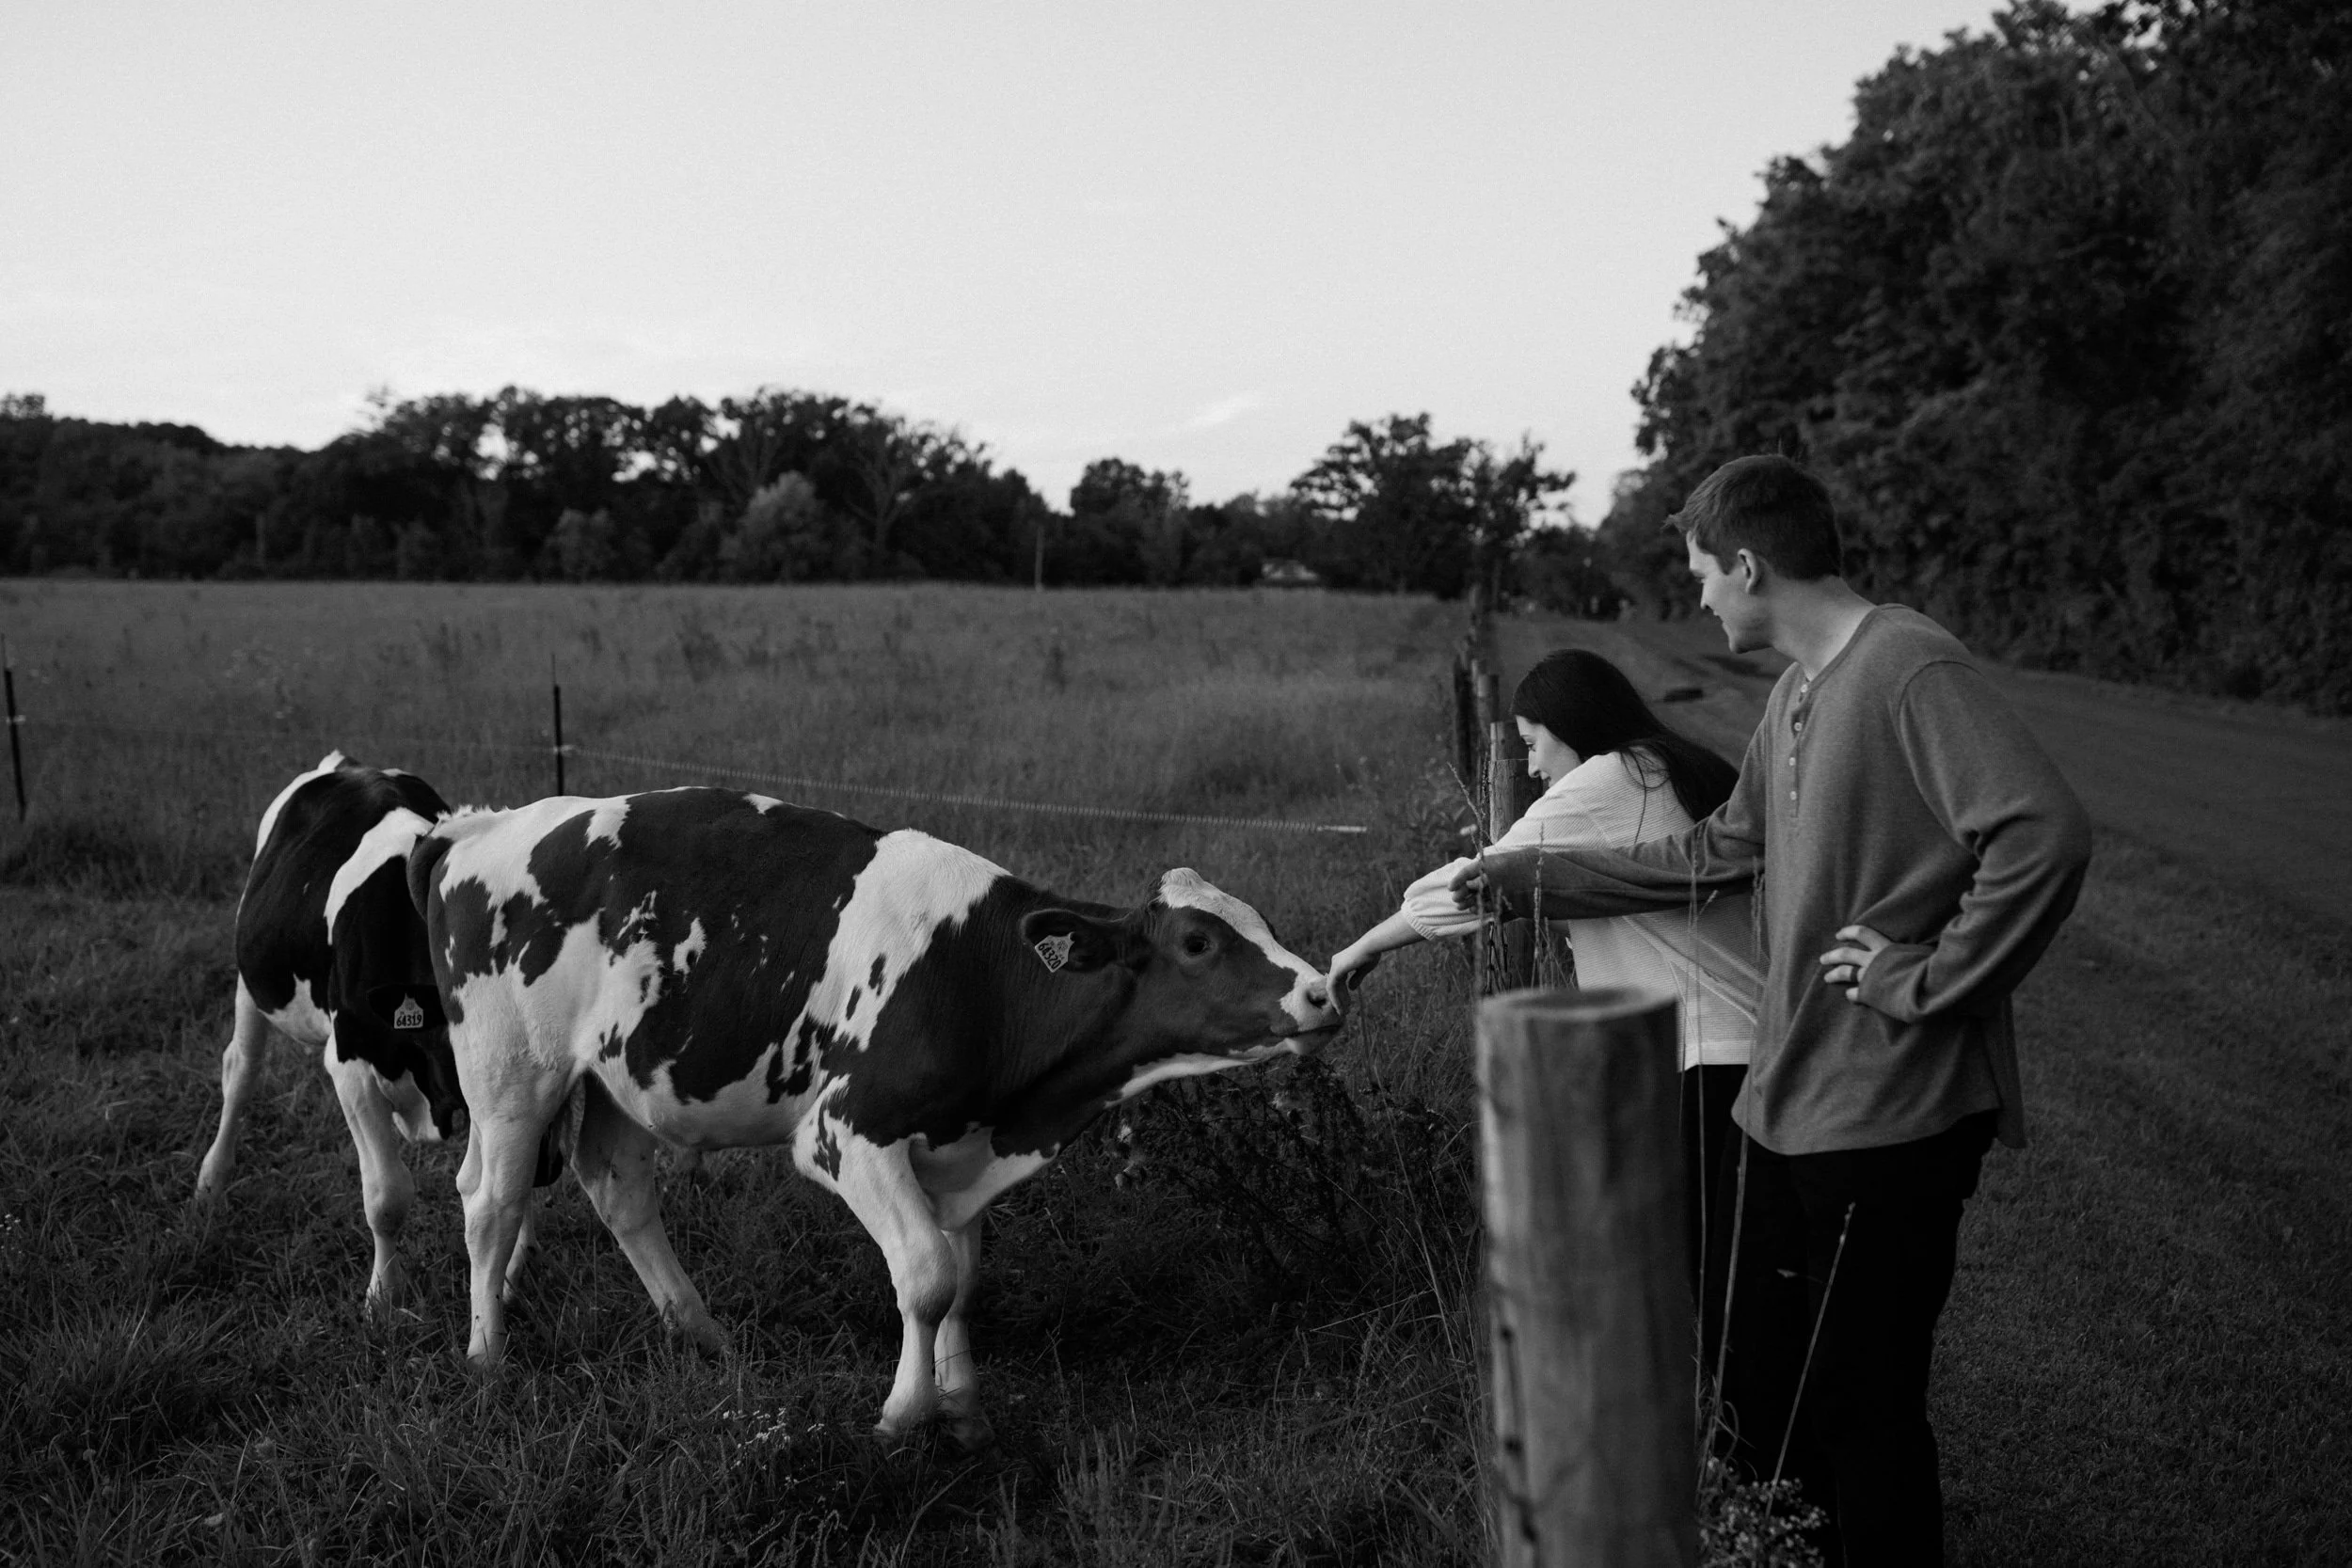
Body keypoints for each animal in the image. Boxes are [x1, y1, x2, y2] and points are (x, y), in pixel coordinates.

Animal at [193, 751, 485, 1311]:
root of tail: (346, 764)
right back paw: (211, 1184)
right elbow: (387, 1196)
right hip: (252, 978)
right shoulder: (351, 1062)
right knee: (239, 1071)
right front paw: (381, 1299)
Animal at [406, 786, 1342, 1446]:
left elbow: (963, 1275)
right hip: (511, 1076)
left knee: (619, 1193)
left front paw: (964, 1409)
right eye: (1197, 942)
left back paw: (703, 1332)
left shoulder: (959, 1147)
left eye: (1261, 922)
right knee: (491, 1204)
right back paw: (488, 1355)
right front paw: (904, 1411)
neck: (982, 977)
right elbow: (925, 1275)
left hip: (617, 1077)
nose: (1322, 990)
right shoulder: (847, 1134)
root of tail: (475, 830)